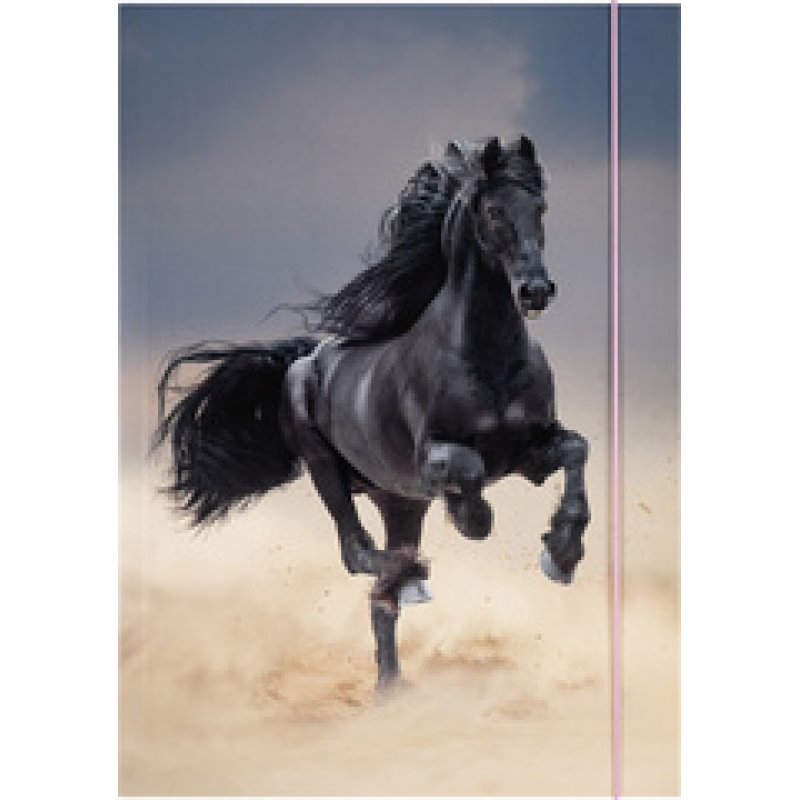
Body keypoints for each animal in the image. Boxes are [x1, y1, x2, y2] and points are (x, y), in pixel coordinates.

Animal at [154, 135, 590, 690]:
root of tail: (303, 360)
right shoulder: (432, 457)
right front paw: (470, 516)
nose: (535, 290)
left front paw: (561, 554)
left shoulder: (532, 450)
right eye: (493, 210)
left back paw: (392, 685)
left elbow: (577, 449)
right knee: (357, 553)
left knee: (380, 597)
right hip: (329, 473)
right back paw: (411, 582)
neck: (487, 358)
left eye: (540, 208)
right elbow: (468, 470)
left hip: (400, 502)